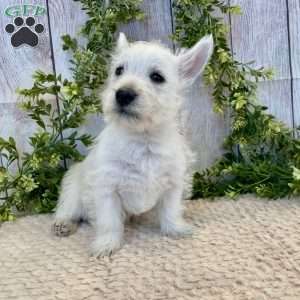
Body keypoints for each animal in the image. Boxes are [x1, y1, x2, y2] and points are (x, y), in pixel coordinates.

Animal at [53, 33, 213, 258]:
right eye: (119, 70)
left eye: (157, 77)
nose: (123, 94)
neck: (142, 140)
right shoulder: (107, 188)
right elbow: (109, 221)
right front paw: (106, 245)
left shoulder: (173, 184)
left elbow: (171, 211)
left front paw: (176, 229)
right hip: (73, 188)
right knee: (68, 209)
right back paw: (63, 225)